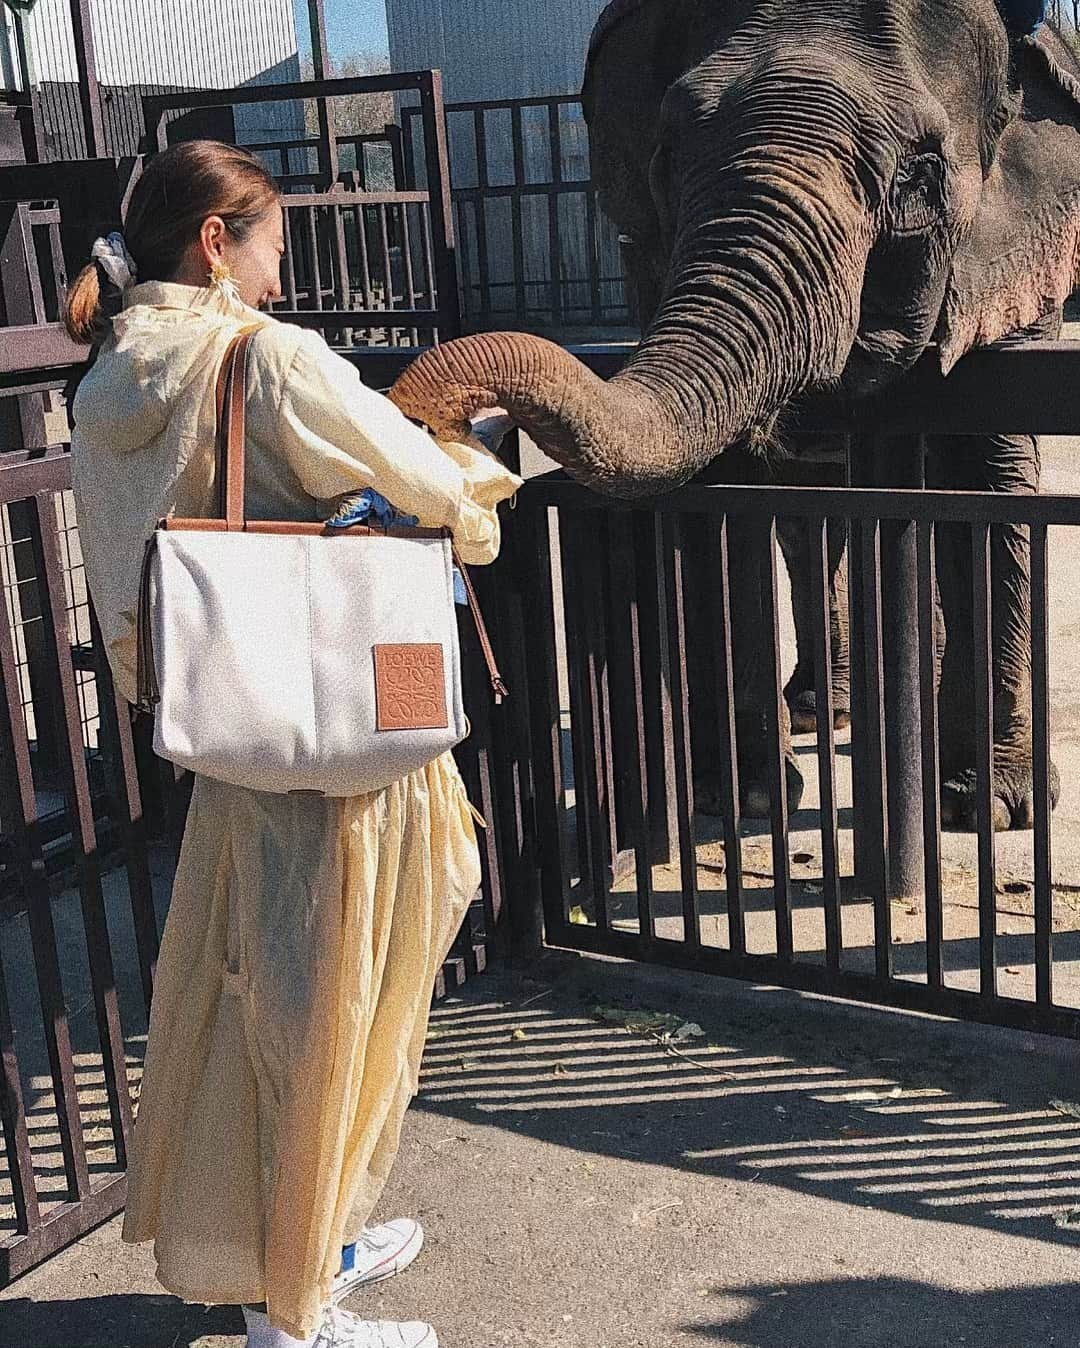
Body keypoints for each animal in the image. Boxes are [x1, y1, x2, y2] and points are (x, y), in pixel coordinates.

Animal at [391, 2, 1078, 830]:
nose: (423, 419)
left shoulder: (1014, 264)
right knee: (812, 526)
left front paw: (992, 807)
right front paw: (741, 798)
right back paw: (824, 710)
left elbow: (987, 473)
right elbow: (726, 492)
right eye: (667, 155)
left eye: (917, 177)